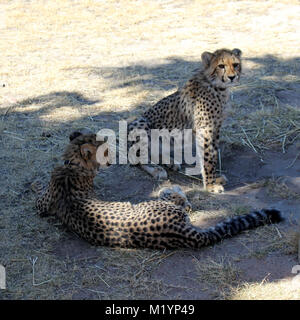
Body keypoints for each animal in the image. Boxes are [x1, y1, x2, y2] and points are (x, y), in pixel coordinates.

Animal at [32, 131, 284, 250]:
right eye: (102, 148)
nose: (113, 156)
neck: (72, 165)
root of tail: (187, 235)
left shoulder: (42, 206)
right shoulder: (41, 206)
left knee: (183, 202)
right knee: (183, 203)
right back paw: (174, 188)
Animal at [127, 47, 243, 192]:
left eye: (235, 64)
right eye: (221, 66)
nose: (232, 77)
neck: (217, 87)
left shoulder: (216, 127)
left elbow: (213, 154)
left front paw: (215, 178)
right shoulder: (204, 129)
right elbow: (207, 157)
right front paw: (210, 185)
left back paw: (170, 162)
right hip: (141, 123)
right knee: (137, 157)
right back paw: (156, 169)